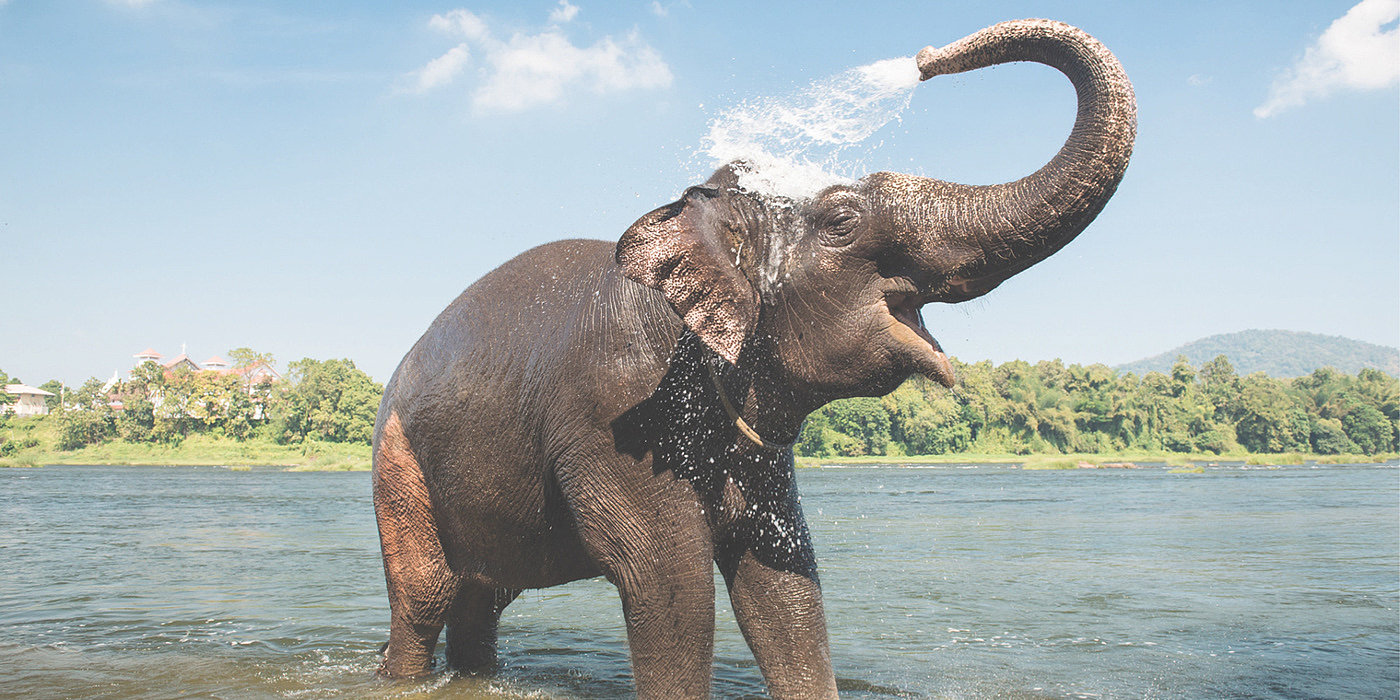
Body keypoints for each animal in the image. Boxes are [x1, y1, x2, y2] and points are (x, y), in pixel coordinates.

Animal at [375, 19, 1136, 697]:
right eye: (843, 222)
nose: (925, 57)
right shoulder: (614, 414)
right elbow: (669, 583)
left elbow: (783, 583)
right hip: (397, 461)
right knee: (425, 595)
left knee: (483, 596)